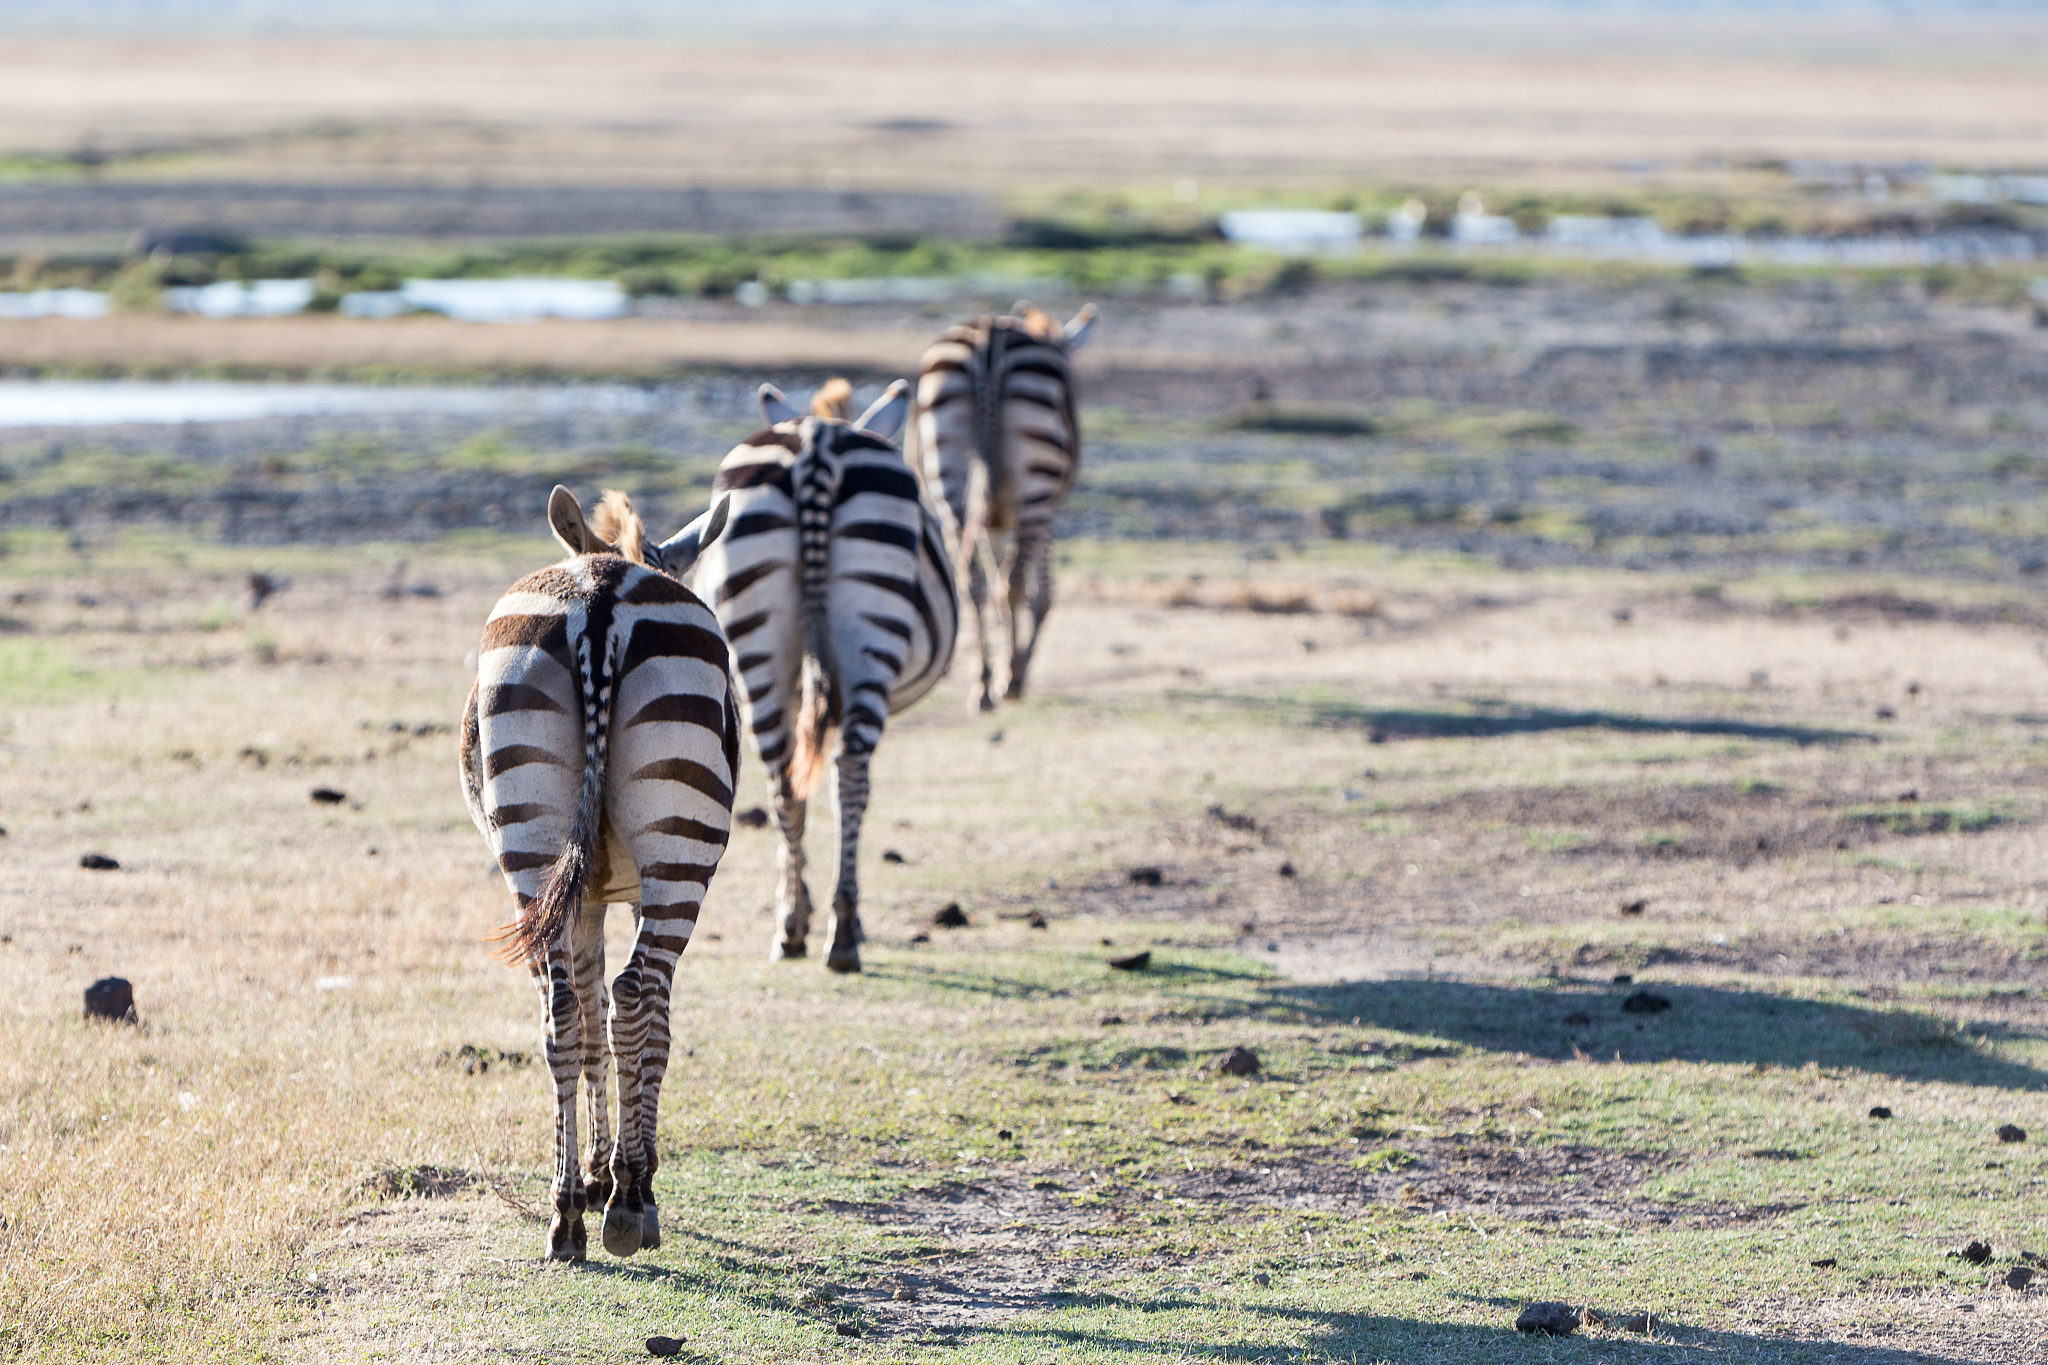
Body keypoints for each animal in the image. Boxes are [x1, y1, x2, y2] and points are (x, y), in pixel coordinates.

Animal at [460, 485, 740, 1263]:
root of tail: (598, 596)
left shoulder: (581, 897)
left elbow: (586, 1022)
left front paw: (589, 1174)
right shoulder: (635, 890)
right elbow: (656, 1029)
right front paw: (628, 1176)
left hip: (529, 842)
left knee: (561, 1010)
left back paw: (566, 1217)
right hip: (681, 850)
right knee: (635, 994)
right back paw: (628, 1205)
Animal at [660, 379, 956, 973]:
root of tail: (817, 442)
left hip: (757, 642)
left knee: (783, 780)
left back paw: (793, 927)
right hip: (869, 642)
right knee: (851, 774)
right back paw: (843, 931)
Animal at [914, 300, 1096, 711]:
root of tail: (989, 336)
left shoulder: (991, 521)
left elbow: (995, 581)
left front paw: (998, 667)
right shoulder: (1047, 516)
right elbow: (1040, 593)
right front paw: (1017, 667)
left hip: (950, 483)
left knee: (971, 583)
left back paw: (981, 682)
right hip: (1035, 488)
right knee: (1014, 583)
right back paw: (1011, 679)